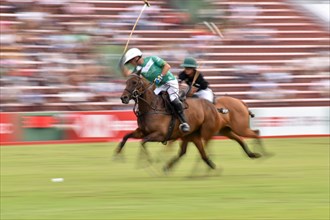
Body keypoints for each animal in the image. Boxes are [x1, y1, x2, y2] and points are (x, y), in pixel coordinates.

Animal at [114, 75, 262, 171]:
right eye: (126, 82)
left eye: (134, 82)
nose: (123, 98)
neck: (153, 107)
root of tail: (241, 102)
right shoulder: (142, 131)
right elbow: (126, 137)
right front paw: (118, 154)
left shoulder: (160, 135)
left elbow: (143, 142)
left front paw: (147, 162)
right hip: (221, 131)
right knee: (235, 140)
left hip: (232, 128)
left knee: (255, 132)